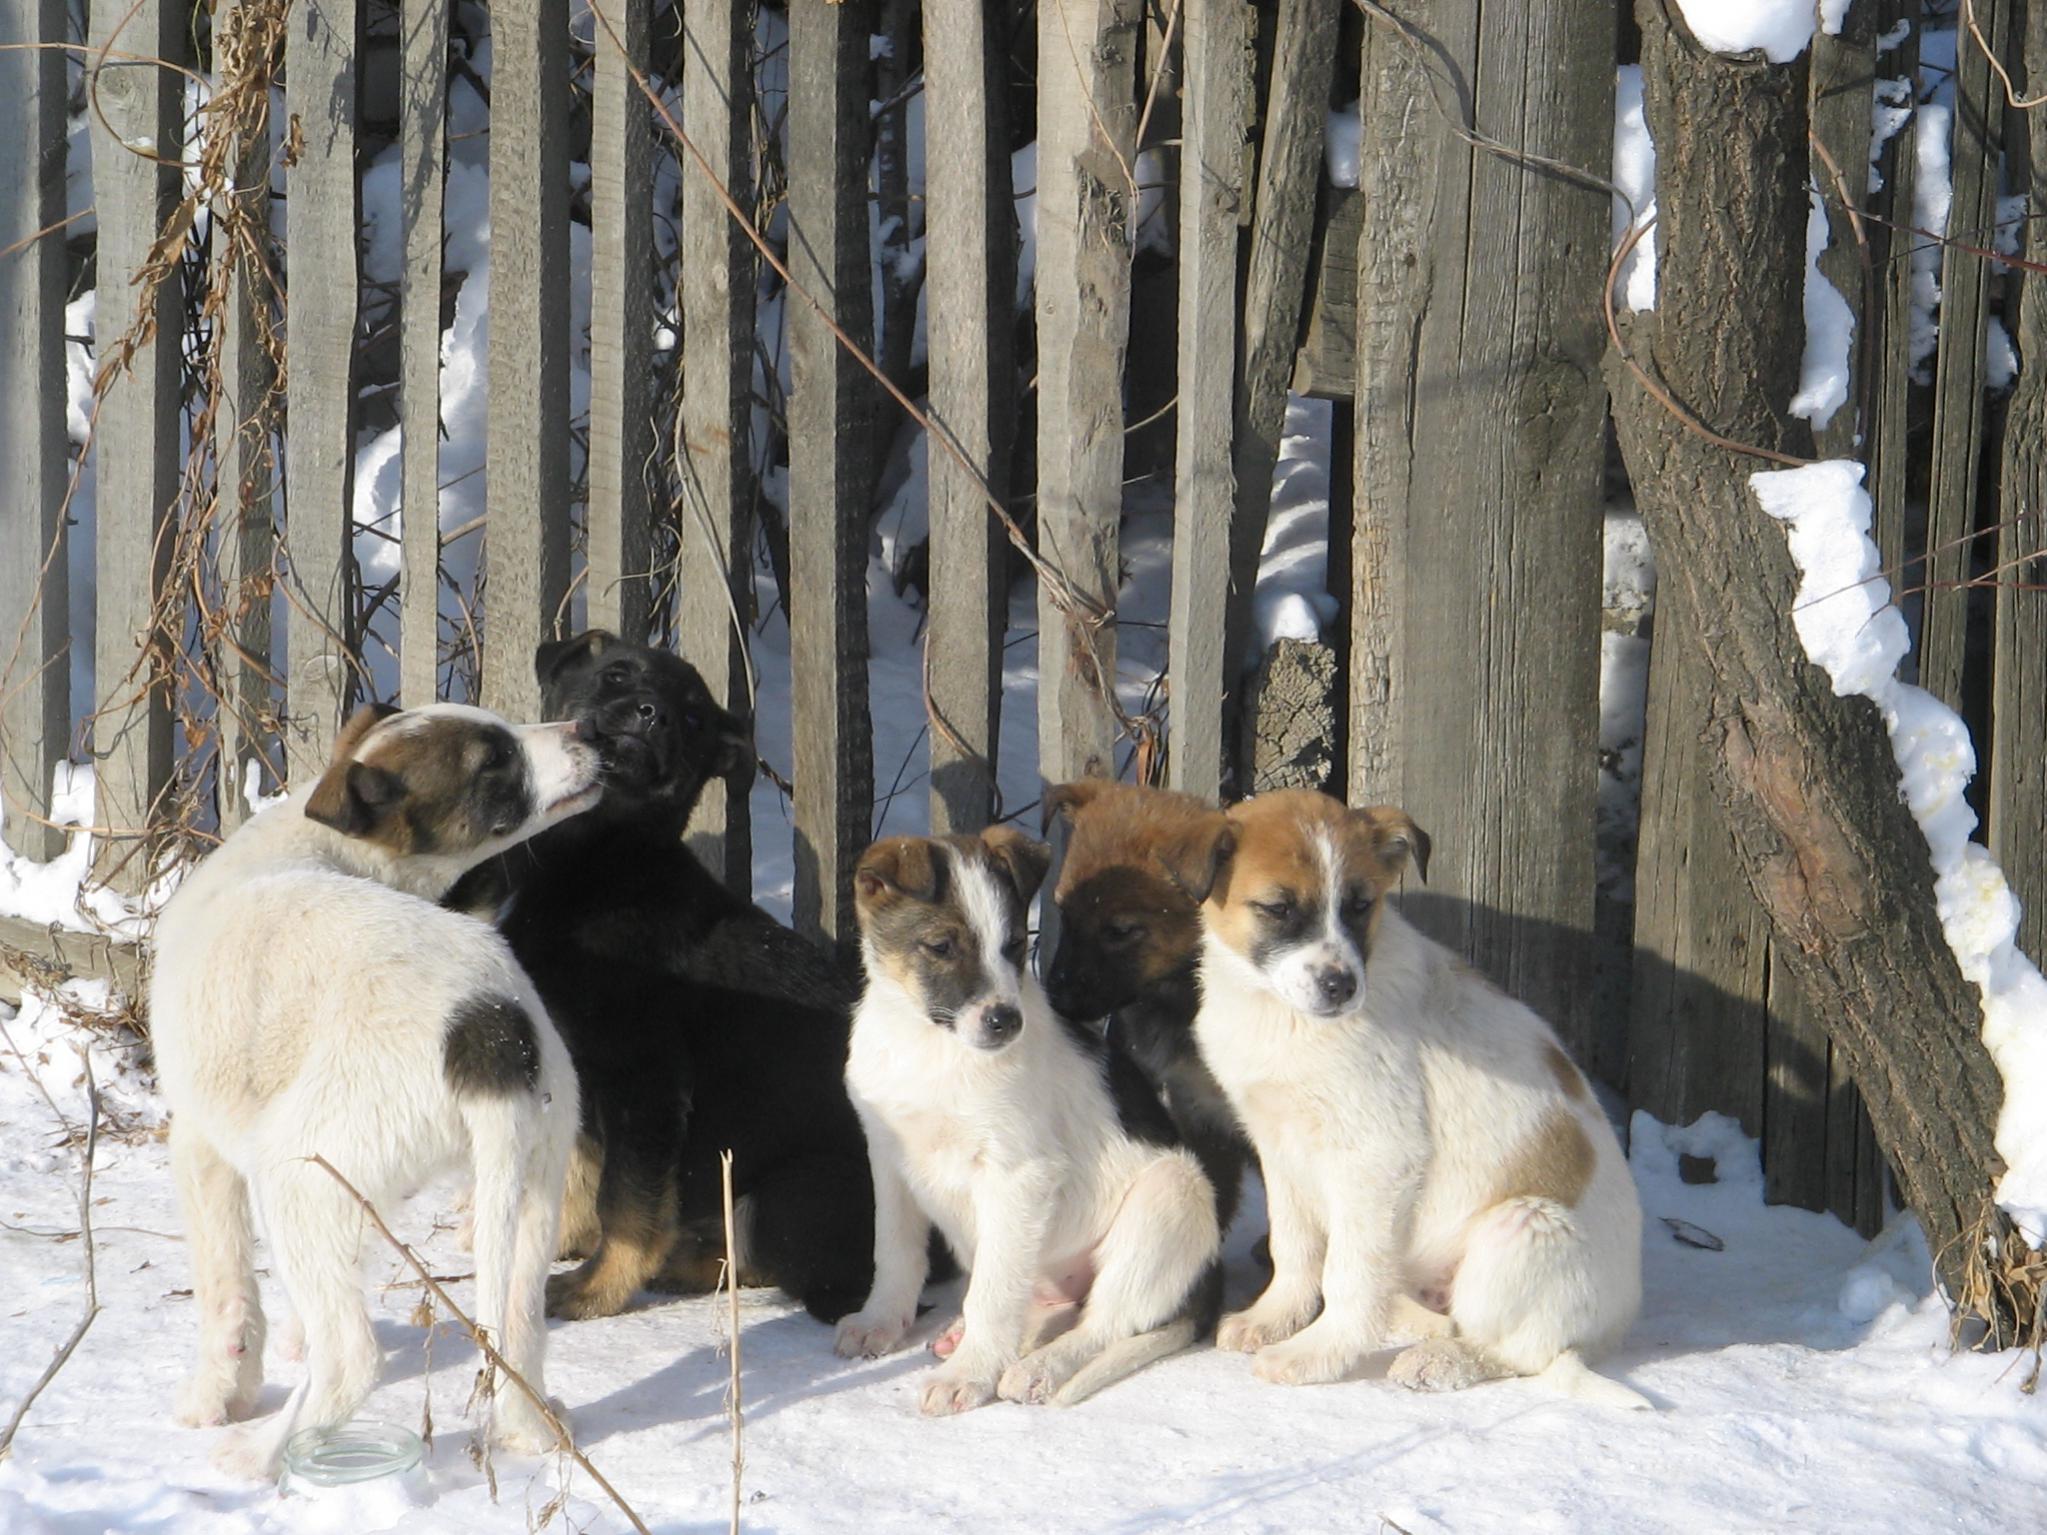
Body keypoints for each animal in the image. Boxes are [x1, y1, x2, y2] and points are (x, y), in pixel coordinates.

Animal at [149, 702, 599, 1478]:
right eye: (494, 759)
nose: (589, 731)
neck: (323, 844)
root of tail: (490, 1028)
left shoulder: (201, 1143)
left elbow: (226, 1288)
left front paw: (219, 1390)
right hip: (529, 1184)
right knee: (516, 1333)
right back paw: (530, 1431)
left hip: (295, 1175)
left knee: (350, 1363)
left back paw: (260, 1453)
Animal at [453, 630, 883, 1322]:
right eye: (616, 675)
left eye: (694, 720)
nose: (652, 716)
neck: (596, 860)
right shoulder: (577, 1066)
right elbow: (583, 1169)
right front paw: (563, 1242)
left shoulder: (646, 1077)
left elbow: (627, 1200)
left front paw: (594, 1290)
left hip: (799, 1192)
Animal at [835, 826, 1222, 1415]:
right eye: (941, 946)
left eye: (1015, 945)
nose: (1005, 1022)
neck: (932, 1047)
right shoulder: (889, 1156)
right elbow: (895, 1253)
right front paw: (880, 1322)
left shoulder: (1017, 1174)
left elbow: (993, 1293)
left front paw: (968, 1376)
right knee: (1051, 1307)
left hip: (1172, 1195)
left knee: (1102, 1323)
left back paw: (1035, 1369)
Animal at [1170, 788, 1646, 1406]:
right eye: (1277, 908)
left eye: (1360, 905)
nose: (1341, 986)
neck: (1281, 1016)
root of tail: (1617, 1323)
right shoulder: (1280, 1147)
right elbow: (1295, 1248)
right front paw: (1275, 1318)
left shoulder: (1377, 1158)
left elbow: (1348, 1272)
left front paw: (1315, 1355)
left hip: (1521, 1228)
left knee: (1524, 1351)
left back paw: (1440, 1363)